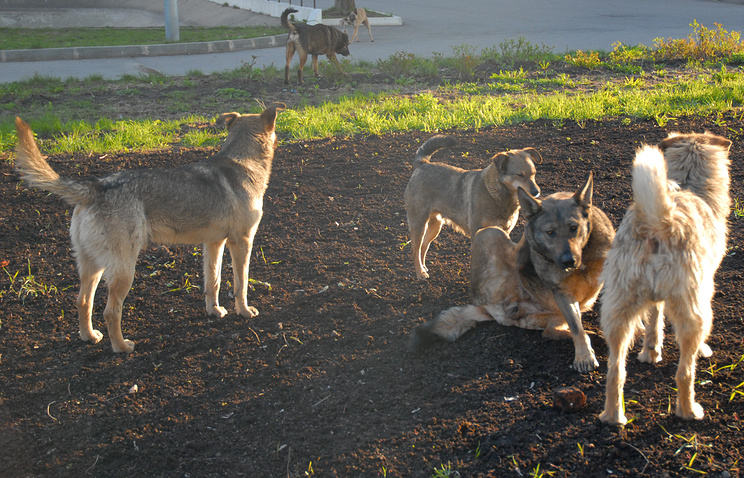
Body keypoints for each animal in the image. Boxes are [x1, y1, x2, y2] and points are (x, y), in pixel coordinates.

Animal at [15, 102, 288, 352]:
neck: (243, 160)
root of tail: (96, 187)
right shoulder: (242, 242)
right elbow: (241, 284)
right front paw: (244, 311)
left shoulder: (214, 243)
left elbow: (213, 282)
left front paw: (215, 311)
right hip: (124, 269)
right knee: (111, 311)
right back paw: (122, 347)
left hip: (92, 266)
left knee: (83, 302)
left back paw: (89, 336)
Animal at [404, 134, 544, 280]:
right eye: (519, 175)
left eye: (534, 173)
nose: (536, 192)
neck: (496, 194)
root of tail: (422, 164)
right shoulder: (478, 233)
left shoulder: (504, 231)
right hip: (419, 223)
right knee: (415, 249)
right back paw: (420, 273)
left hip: (436, 225)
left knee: (424, 246)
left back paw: (424, 268)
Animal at [410, 174, 612, 376]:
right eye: (550, 233)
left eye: (573, 228)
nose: (568, 261)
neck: (584, 255)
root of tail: (484, 308)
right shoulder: (562, 293)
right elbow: (577, 328)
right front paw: (585, 357)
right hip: (490, 232)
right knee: (517, 252)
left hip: (553, 313)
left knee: (550, 331)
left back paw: (594, 336)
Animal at [600, 132, 732, 426]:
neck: (689, 184)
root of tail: (660, 223)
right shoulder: (704, 289)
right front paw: (702, 350)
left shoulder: (654, 299)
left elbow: (653, 320)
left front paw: (651, 352)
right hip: (693, 310)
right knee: (685, 372)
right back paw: (689, 410)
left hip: (618, 309)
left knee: (615, 371)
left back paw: (613, 416)